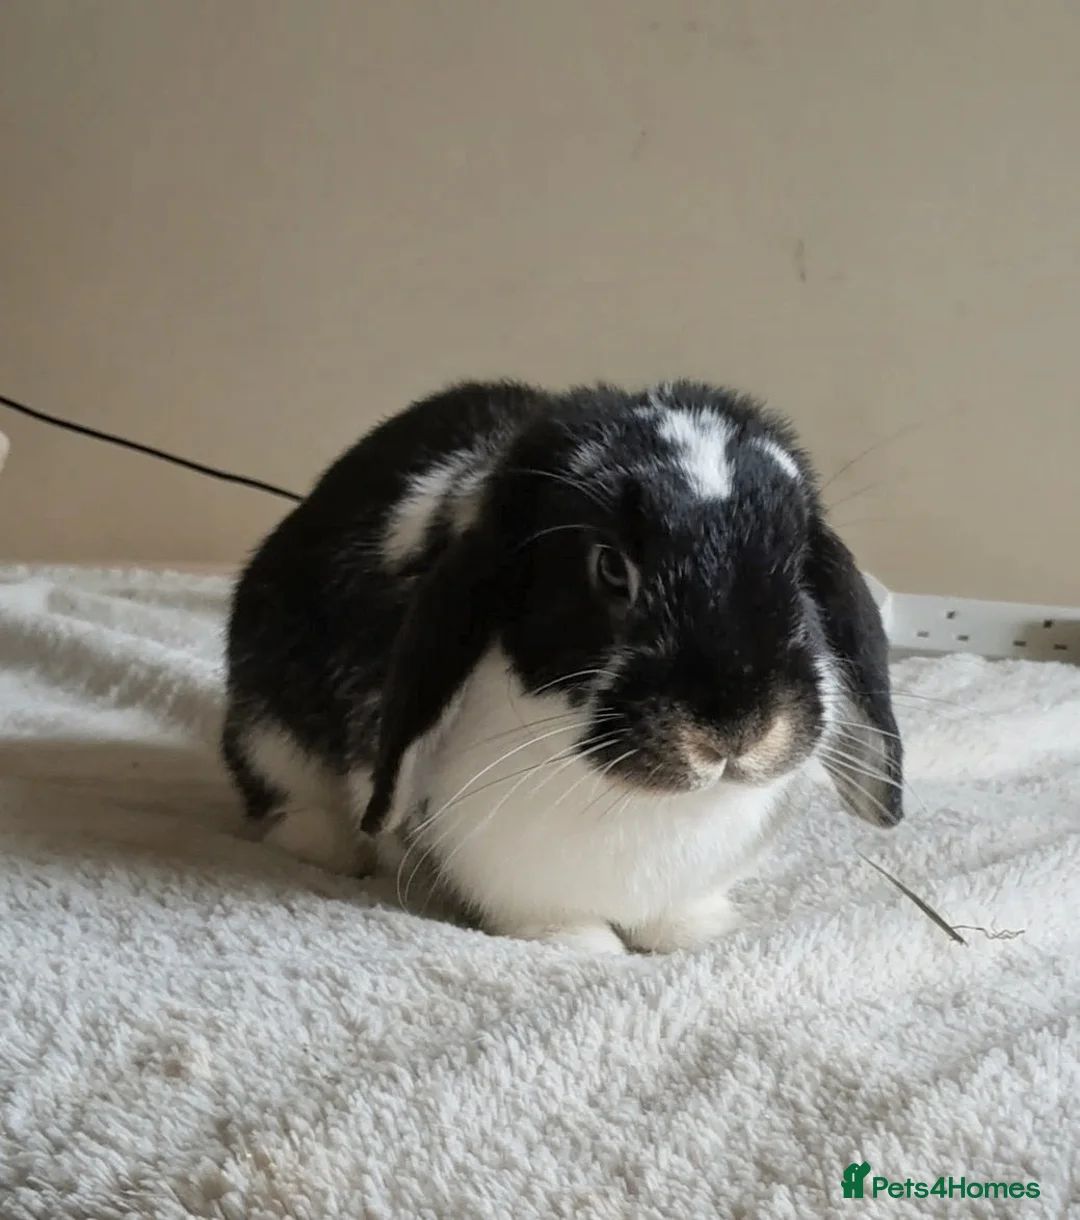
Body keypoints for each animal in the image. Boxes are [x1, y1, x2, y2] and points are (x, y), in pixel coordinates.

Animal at [221, 378, 903, 954]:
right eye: (610, 567)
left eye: (797, 568)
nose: (738, 728)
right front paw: (584, 946)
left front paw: (699, 934)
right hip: (265, 728)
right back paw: (326, 846)